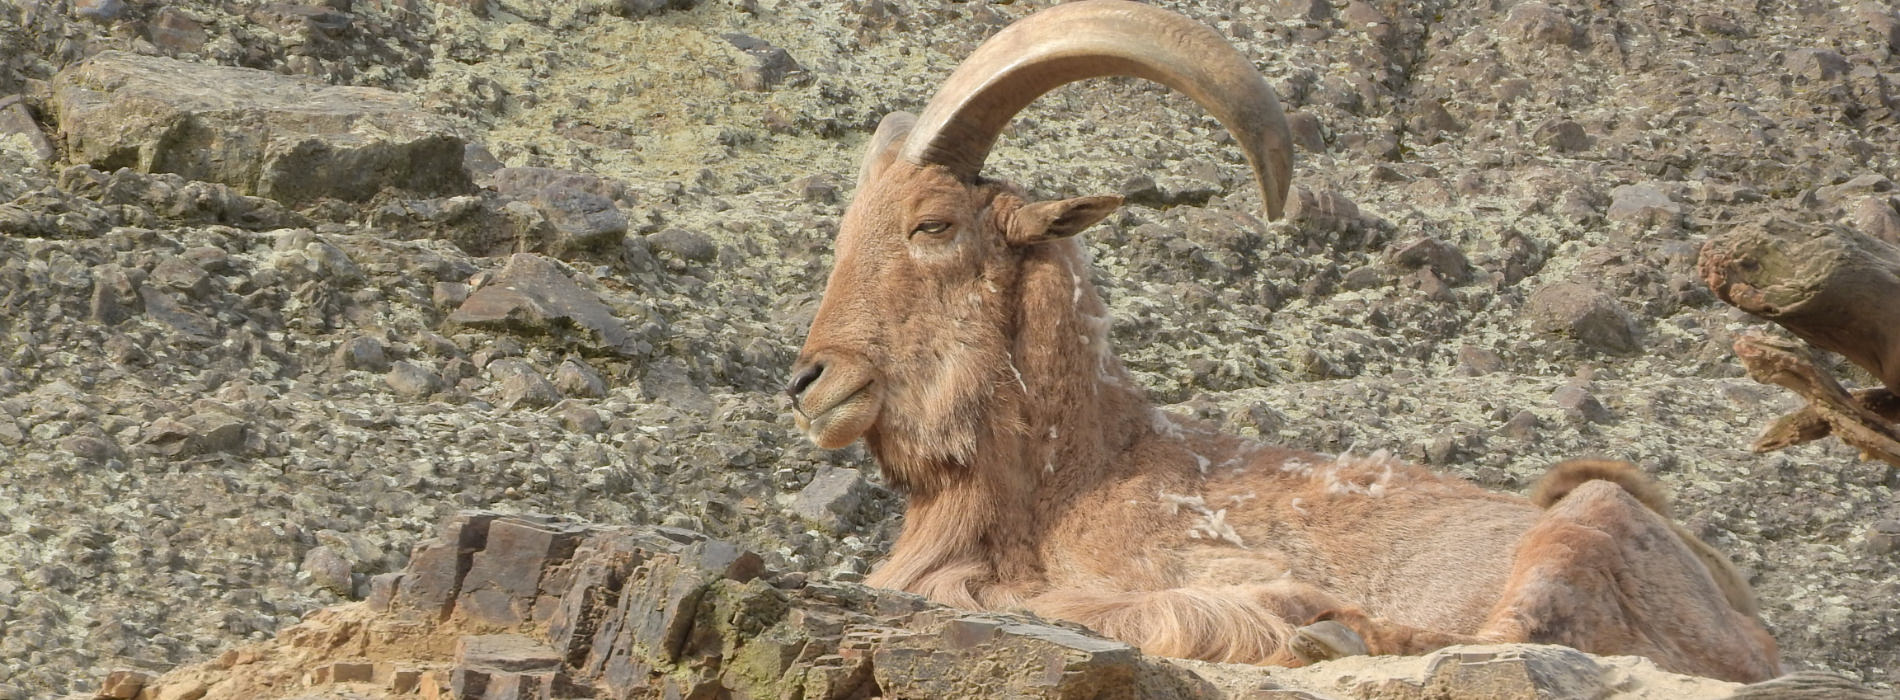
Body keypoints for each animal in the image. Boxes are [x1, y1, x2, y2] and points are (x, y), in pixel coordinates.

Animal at [784, 0, 1780, 682]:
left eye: (933, 225)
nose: (809, 381)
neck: (1079, 473)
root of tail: (1748, 628)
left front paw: (1272, 609)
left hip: (1584, 527)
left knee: (1514, 636)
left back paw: (1327, 629)